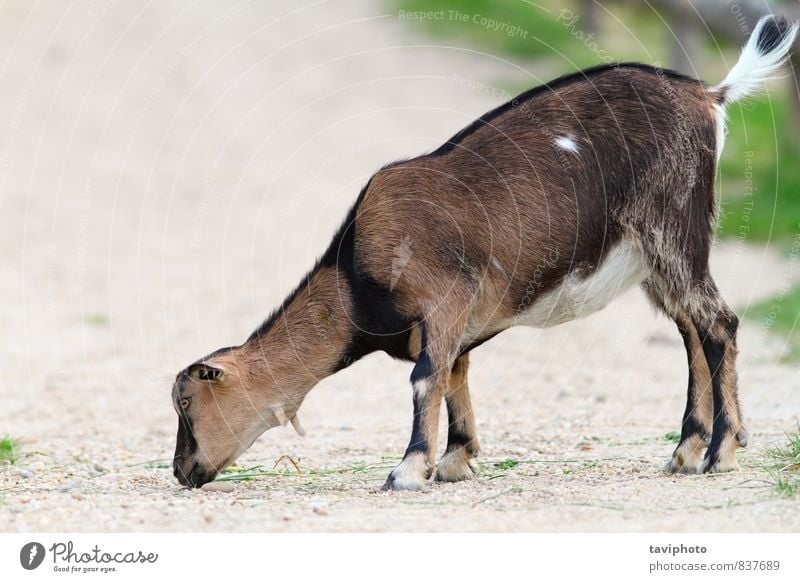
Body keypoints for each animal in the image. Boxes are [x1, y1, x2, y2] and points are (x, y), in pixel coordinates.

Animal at [172, 16, 796, 490]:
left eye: (186, 403)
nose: (182, 471)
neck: (354, 277)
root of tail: (709, 96)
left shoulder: (443, 298)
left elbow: (426, 378)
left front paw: (408, 470)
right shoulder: (455, 325)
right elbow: (456, 373)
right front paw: (455, 459)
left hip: (672, 228)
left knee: (719, 323)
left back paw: (721, 452)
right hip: (656, 254)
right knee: (691, 330)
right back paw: (687, 451)